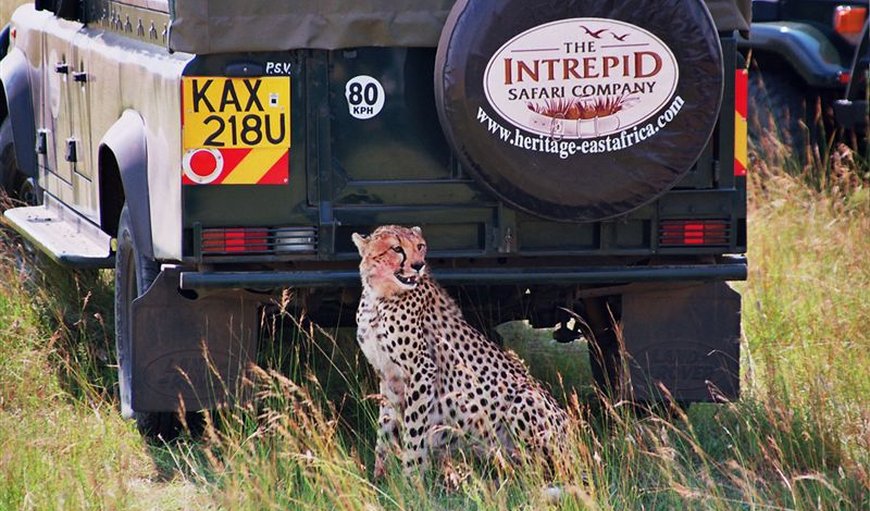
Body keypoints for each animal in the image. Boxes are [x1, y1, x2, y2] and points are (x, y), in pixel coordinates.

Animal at [350, 226, 568, 478]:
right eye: (396, 248)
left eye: (420, 246)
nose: (418, 265)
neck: (378, 296)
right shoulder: (389, 376)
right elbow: (384, 430)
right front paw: (380, 479)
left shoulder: (422, 370)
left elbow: (414, 431)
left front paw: (412, 480)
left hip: (525, 399)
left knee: (548, 468)